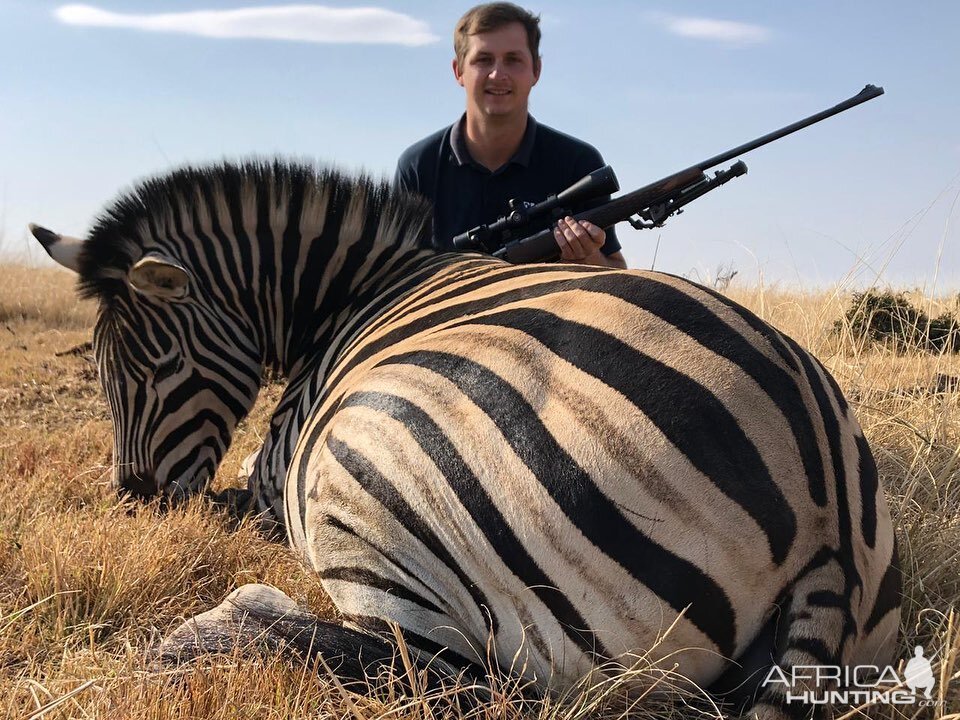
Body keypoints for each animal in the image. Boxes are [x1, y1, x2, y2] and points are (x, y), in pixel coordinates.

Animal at [30, 160, 900, 716]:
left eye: (160, 366)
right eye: (100, 370)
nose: (133, 501)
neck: (351, 295)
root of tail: (824, 500)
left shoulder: (280, 475)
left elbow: (237, 493)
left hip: (370, 467)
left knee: (446, 677)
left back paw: (211, 626)